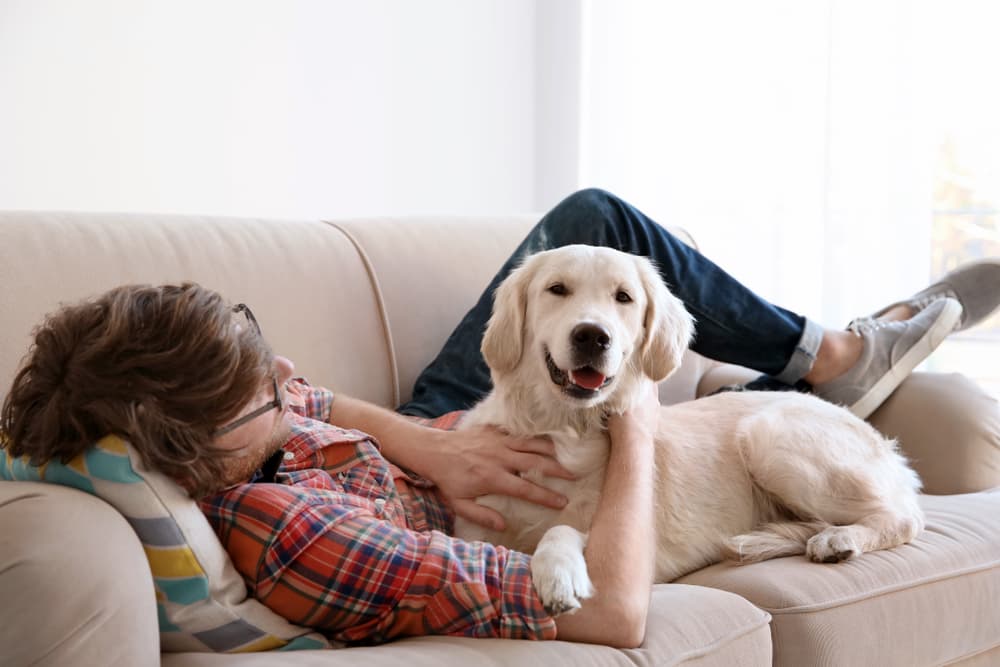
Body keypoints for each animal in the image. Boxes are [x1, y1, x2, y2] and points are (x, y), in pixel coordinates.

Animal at [452, 244, 920, 616]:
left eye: (623, 297)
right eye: (557, 289)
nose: (592, 336)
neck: (564, 428)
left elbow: (561, 529)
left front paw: (558, 574)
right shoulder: (474, 527)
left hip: (769, 436)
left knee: (904, 518)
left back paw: (839, 539)